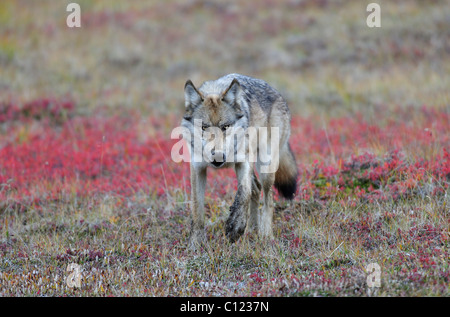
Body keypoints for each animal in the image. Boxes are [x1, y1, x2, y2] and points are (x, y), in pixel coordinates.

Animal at [181, 73, 298, 247]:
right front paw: (195, 244)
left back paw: (265, 235)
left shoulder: (243, 162)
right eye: (203, 127)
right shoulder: (197, 168)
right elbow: (197, 210)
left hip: (266, 167)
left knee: (267, 198)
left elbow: (244, 193)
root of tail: (277, 93)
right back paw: (252, 230)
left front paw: (235, 227)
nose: (218, 157)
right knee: (256, 188)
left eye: (225, 127)